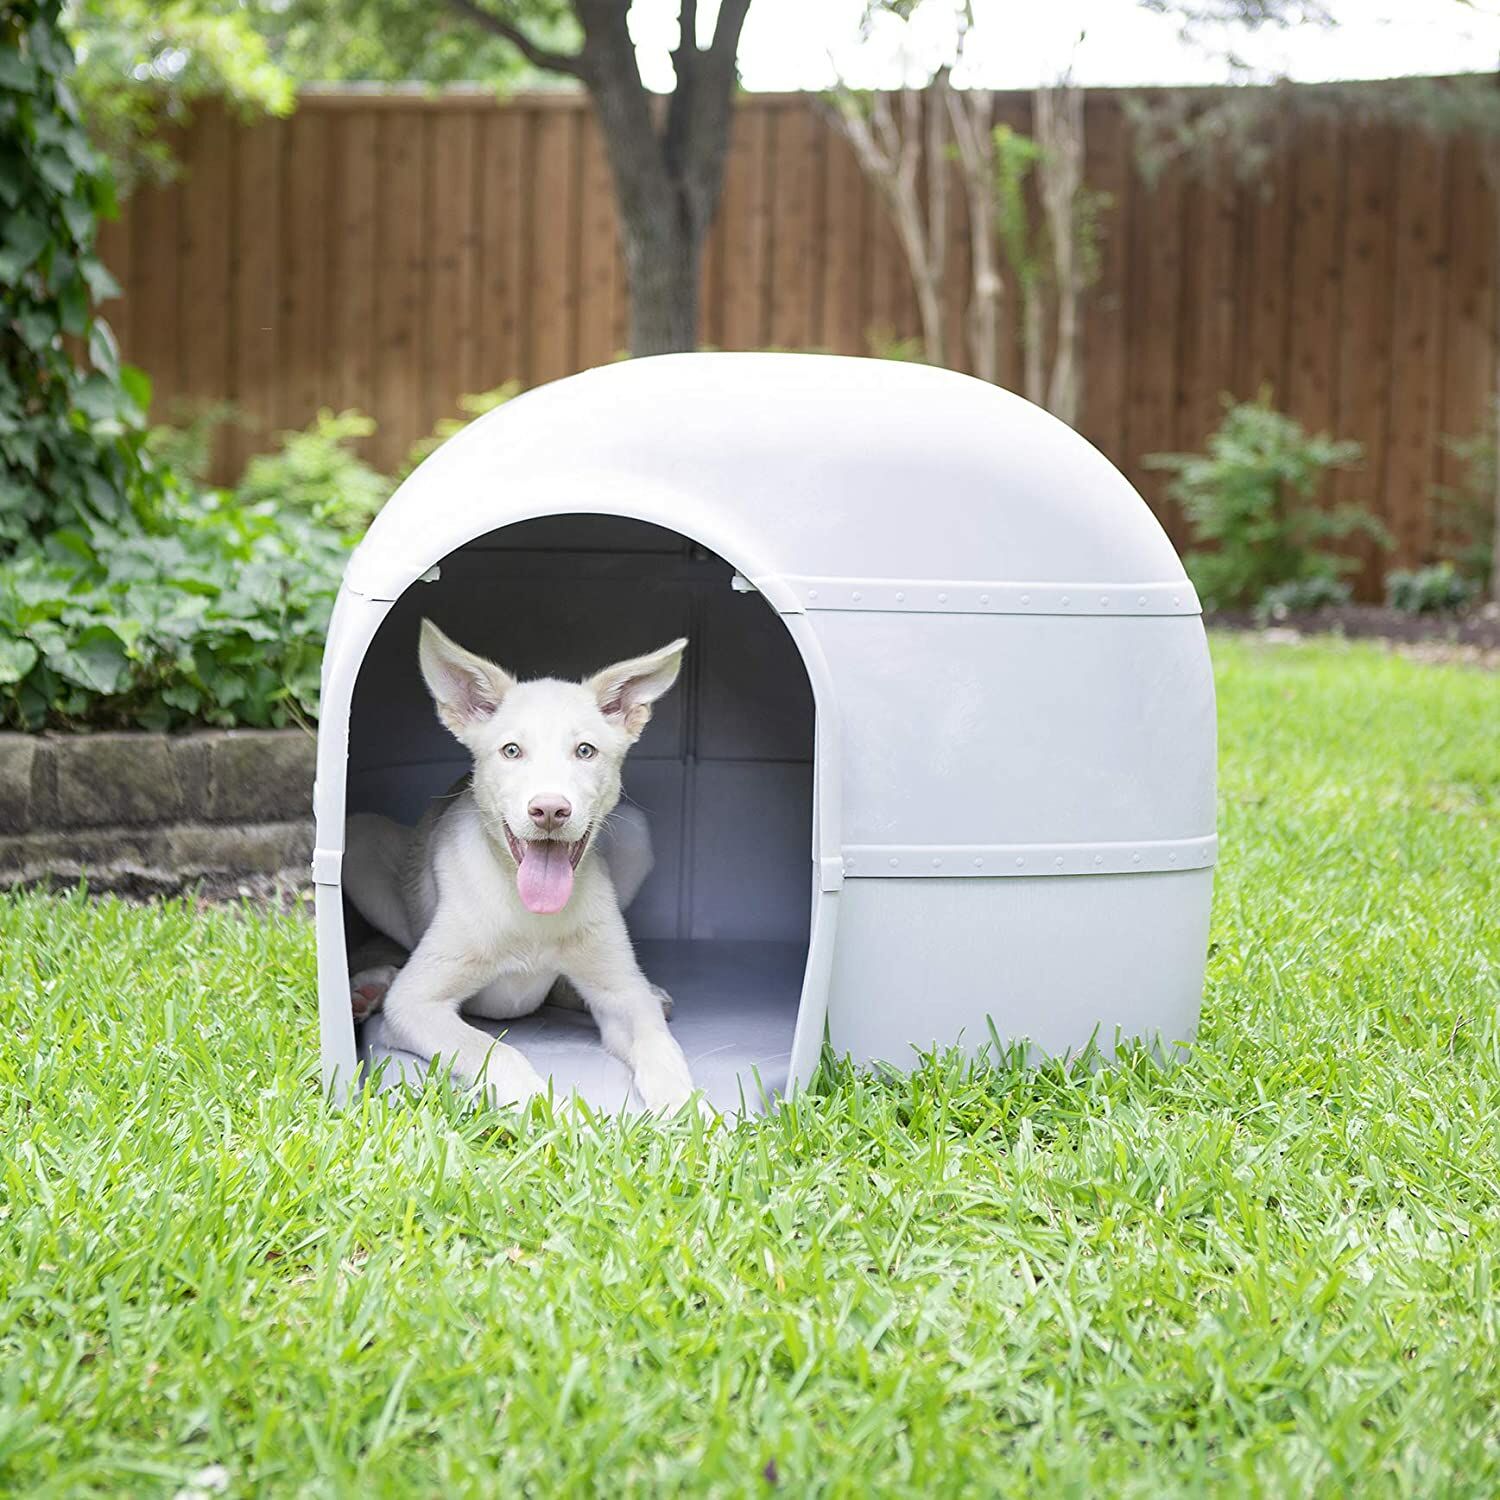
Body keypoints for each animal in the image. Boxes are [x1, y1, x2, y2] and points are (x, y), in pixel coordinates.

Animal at [348, 621, 699, 1116]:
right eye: (511, 750)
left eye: (585, 750)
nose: (549, 810)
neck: (531, 915)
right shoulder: (415, 1004)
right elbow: (498, 1053)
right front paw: (552, 1115)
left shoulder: (622, 997)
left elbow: (658, 1045)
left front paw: (688, 1111)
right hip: (357, 842)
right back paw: (367, 988)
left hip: (634, 833)